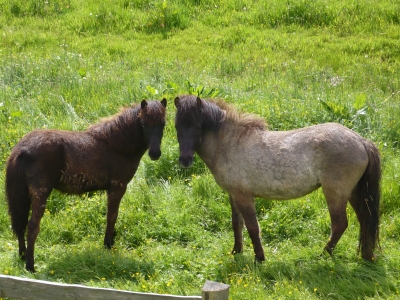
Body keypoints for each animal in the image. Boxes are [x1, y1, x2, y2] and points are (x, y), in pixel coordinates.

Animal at [5, 98, 167, 272]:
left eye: (163, 124)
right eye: (144, 125)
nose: (155, 154)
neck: (116, 145)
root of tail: (21, 148)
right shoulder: (118, 187)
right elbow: (112, 216)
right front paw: (108, 245)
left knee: (20, 225)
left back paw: (23, 257)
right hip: (40, 194)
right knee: (32, 227)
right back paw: (30, 266)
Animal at [174, 95, 382, 262]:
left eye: (198, 126)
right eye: (176, 126)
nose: (184, 160)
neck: (231, 143)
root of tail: (361, 141)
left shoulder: (243, 196)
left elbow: (252, 227)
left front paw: (259, 258)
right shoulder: (233, 195)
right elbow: (237, 224)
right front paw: (236, 251)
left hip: (335, 194)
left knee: (340, 225)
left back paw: (322, 256)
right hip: (354, 193)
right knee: (365, 219)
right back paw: (366, 255)